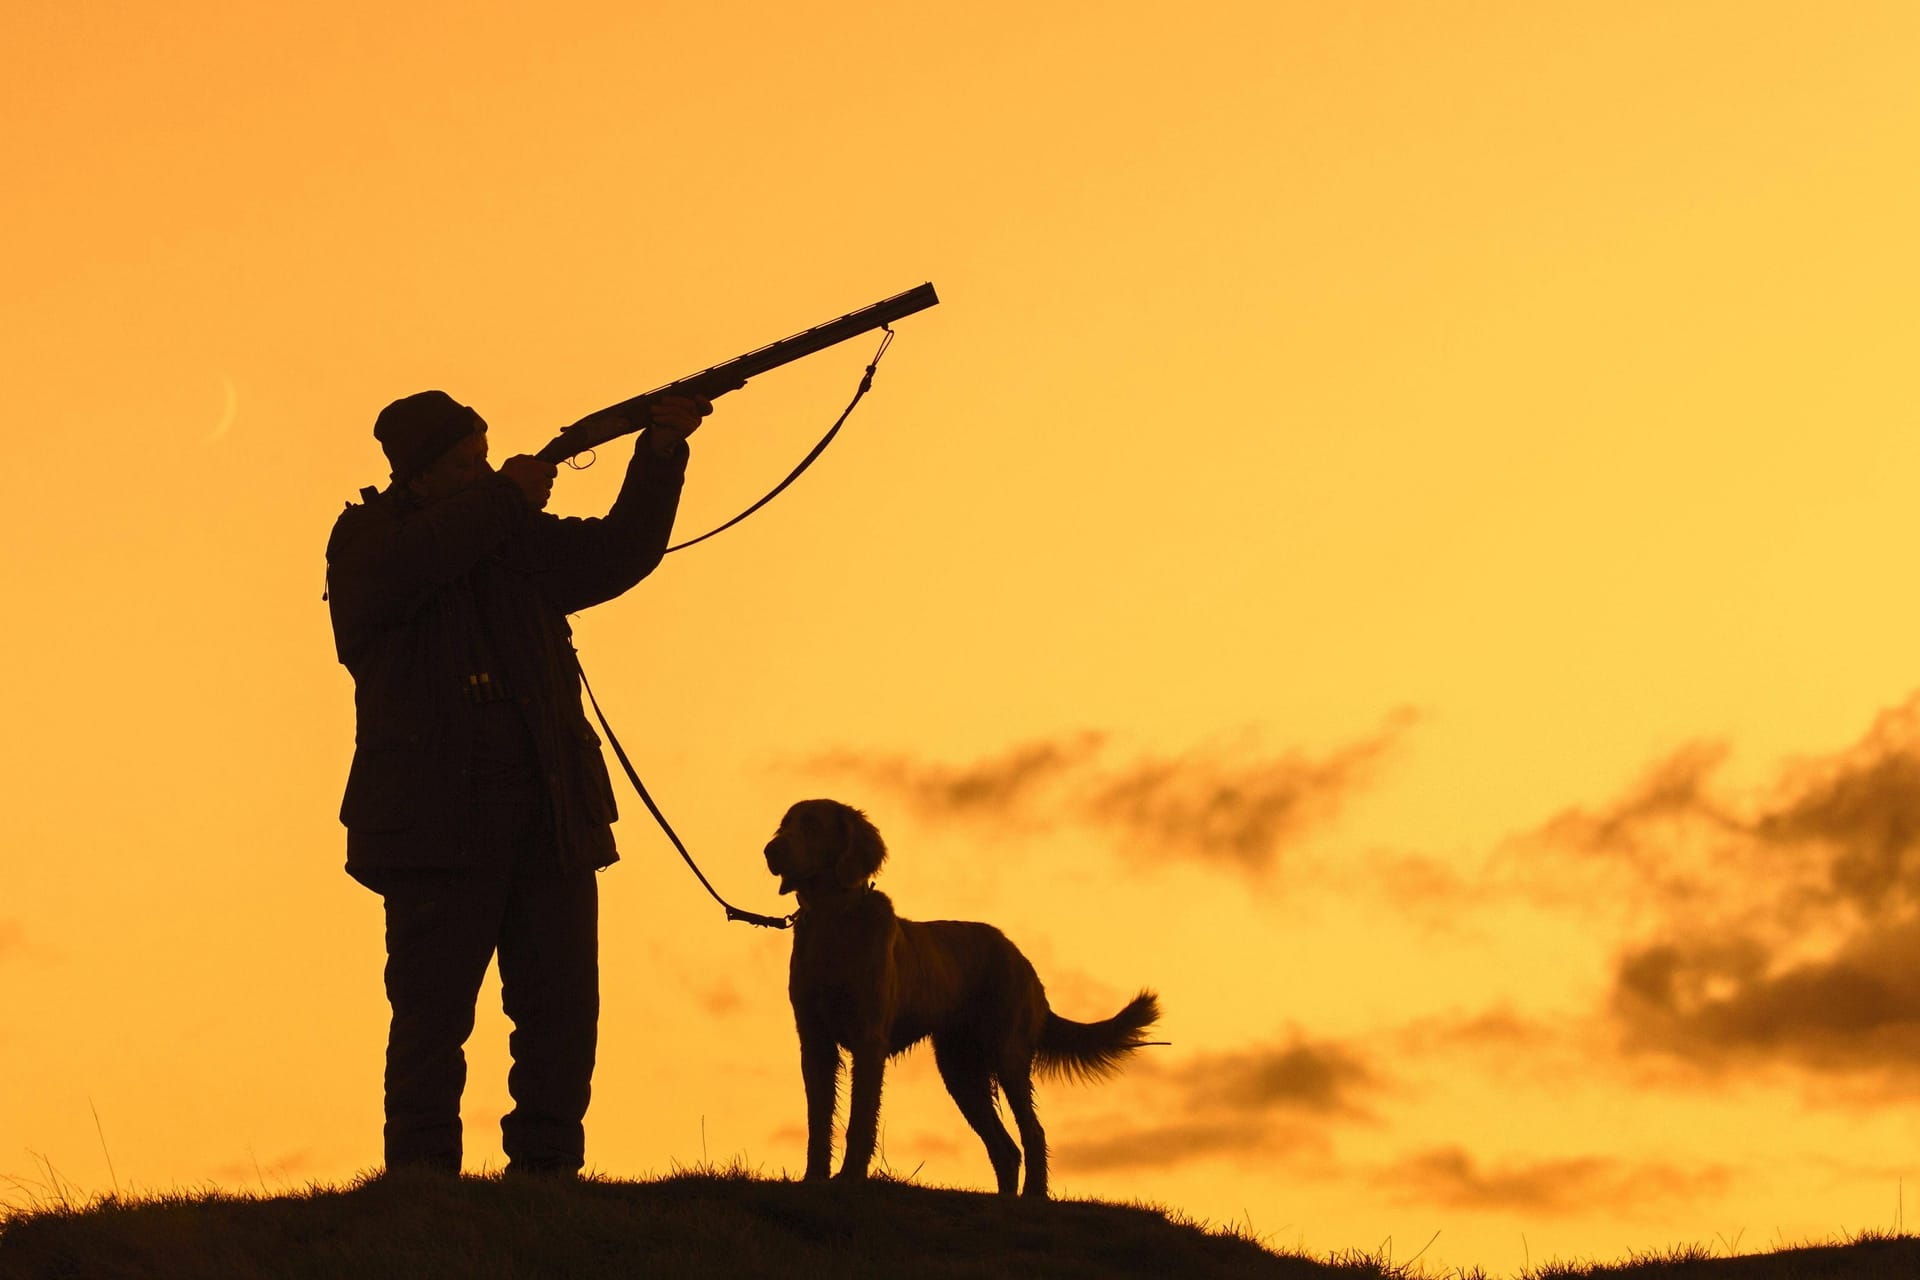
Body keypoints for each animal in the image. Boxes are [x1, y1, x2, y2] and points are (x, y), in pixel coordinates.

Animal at [760, 802, 1152, 1205]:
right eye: (785, 825)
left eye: (812, 824)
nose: (770, 851)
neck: (833, 924)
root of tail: (1023, 961)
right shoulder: (815, 1042)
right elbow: (818, 1120)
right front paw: (814, 1179)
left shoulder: (869, 1041)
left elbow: (860, 1119)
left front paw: (849, 1178)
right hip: (960, 1071)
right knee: (1006, 1148)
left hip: (1006, 1056)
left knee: (1033, 1133)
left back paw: (1034, 1196)